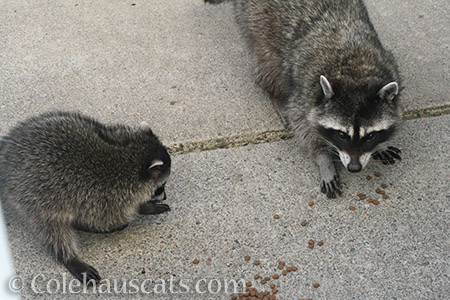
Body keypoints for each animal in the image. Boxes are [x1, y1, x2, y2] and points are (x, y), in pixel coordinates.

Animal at [0, 112, 171, 284]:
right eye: (161, 185)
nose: (164, 196)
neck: (128, 151)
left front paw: (144, 205)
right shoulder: (105, 195)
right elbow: (110, 218)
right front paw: (141, 207)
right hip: (34, 195)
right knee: (53, 229)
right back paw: (69, 257)